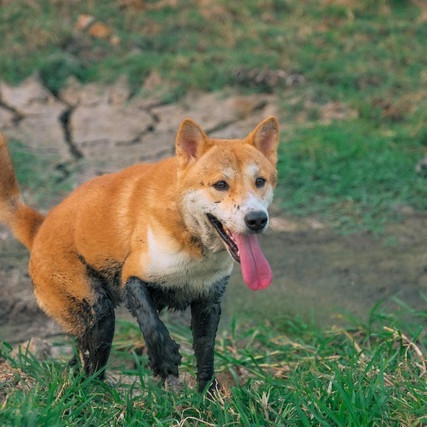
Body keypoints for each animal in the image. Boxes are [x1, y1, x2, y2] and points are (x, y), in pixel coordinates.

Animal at [0, 117, 280, 394]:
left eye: (260, 181)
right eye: (220, 185)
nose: (257, 219)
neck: (189, 234)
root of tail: (39, 227)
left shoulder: (208, 301)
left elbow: (205, 354)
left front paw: (208, 396)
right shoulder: (132, 276)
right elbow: (151, 322)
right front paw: (164, 359)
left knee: (80, 363)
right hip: (97, 312)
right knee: (92, 362)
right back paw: (96, 393)